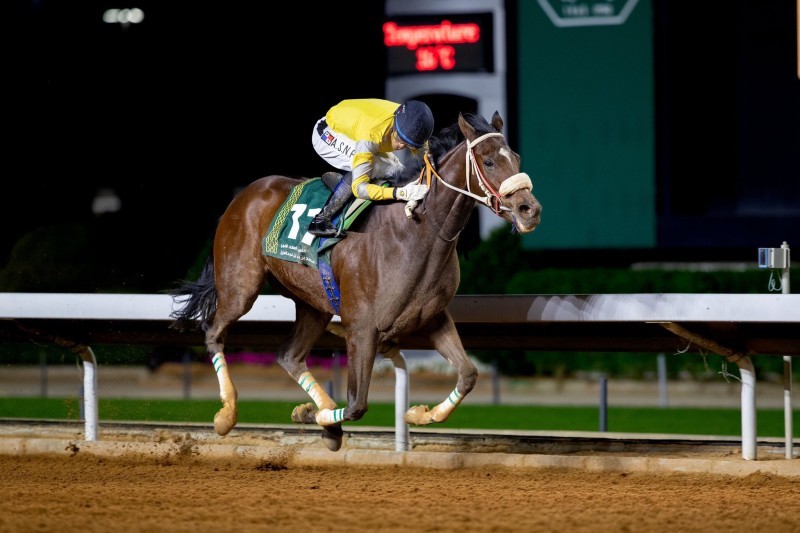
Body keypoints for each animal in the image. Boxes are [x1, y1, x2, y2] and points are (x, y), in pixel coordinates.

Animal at [171, 111, 540, 448]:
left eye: (517, 158)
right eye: (489, 161)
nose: (530, 209)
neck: (417, 233)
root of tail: (242, 195)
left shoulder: (432, 318)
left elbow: (468, 375)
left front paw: (417, 413)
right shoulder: (362, 329)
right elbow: (356, 406)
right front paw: (310, 415)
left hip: (313, 304)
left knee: (289, 355)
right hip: (240, 287)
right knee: (214, 332)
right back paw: (226, 414)